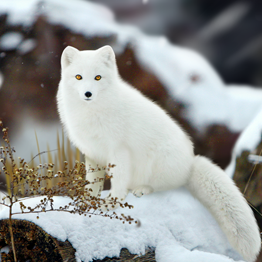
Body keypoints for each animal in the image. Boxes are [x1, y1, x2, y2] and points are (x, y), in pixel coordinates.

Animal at [56, 45, 260, 262]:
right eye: (78, 77)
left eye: (97, 77)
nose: (87, 93)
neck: (92, 113)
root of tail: (190, 164)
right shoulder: (92, 153)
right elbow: (92, 182)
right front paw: (87, 201)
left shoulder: (119, 149)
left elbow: (118, 180)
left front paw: (111, 203)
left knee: (161, 186)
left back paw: (142, 189)